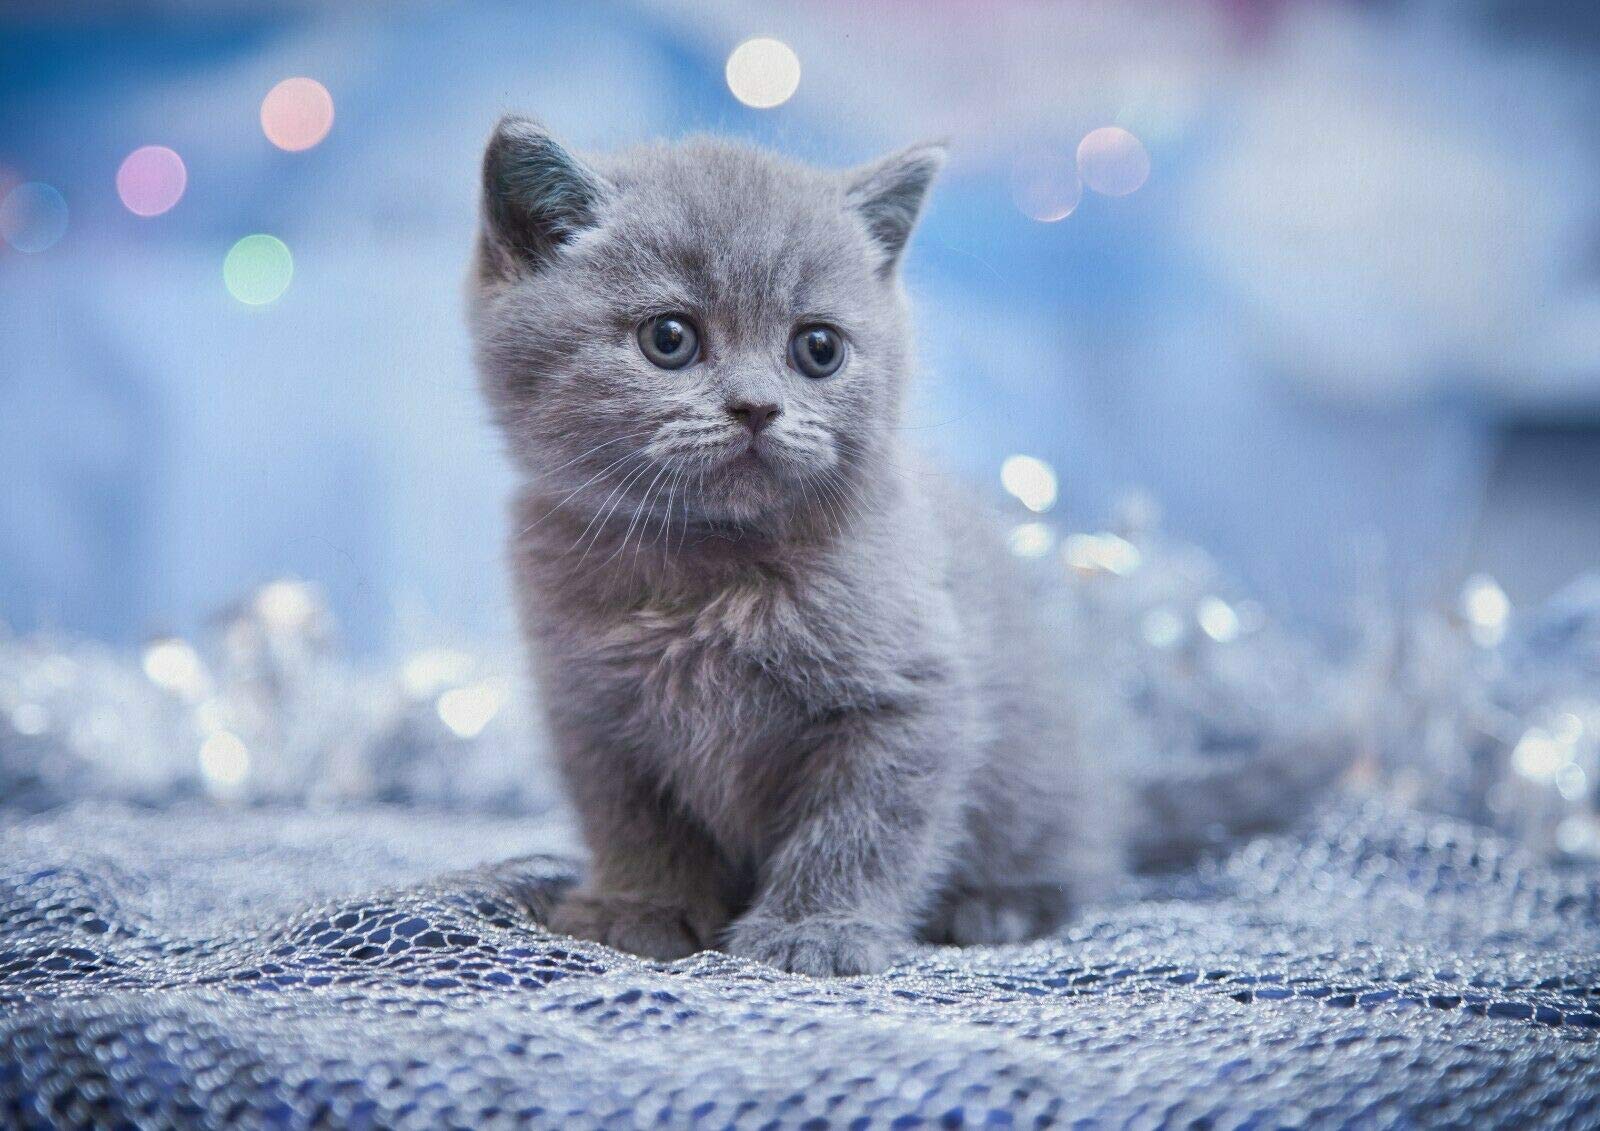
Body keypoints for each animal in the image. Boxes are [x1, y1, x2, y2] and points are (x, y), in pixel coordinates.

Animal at [467, 119, 1120, 979]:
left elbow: (860, 825)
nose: (755, 406)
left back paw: (997, 906)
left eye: (818, 347)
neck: (710, 575)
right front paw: (641, 908)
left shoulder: (908, 699)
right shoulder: (592, 716)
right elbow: (635, 824)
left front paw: (816, 929)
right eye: (669, 338)